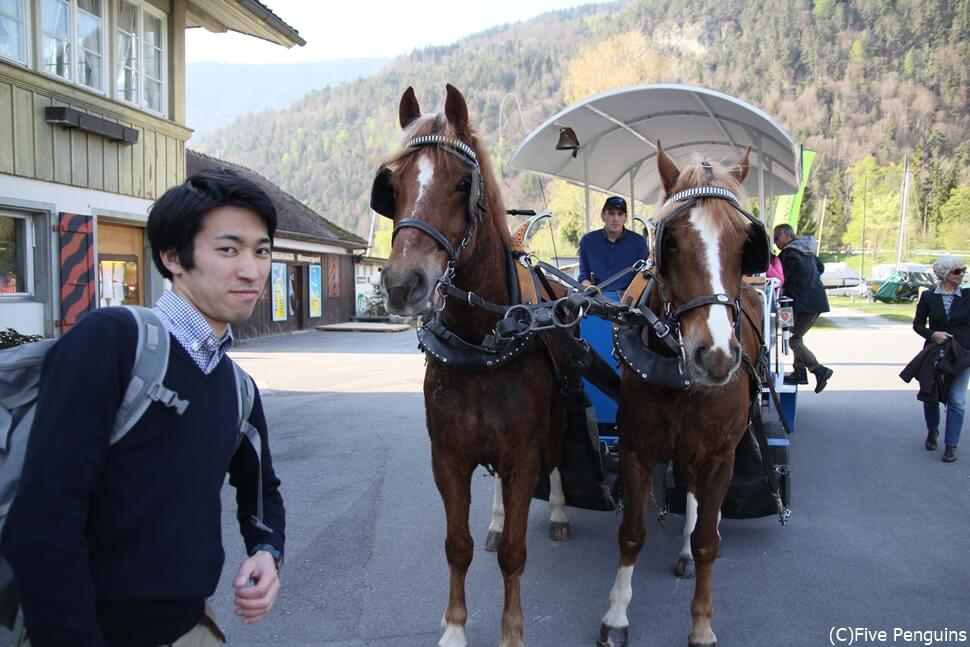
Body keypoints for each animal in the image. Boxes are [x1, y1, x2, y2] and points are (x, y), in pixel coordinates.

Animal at [376, 86, 576, 647]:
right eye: (392, 186)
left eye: (463, 183)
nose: (403, 284)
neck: (481, 339)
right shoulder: (448, 456)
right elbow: (457, 545)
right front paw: (454, 628)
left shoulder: (523, 454)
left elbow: (514, 553)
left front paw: (511, 632)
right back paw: (497, 518)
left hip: (557, 424)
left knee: (557, 461)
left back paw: (556, 511)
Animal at [596, 143, 764, 647]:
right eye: (669, 241)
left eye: (745, 244)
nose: (716, 355)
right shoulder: (637, 448)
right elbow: (631, 534)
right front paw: (617, 616)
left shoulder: (720, 454)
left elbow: (709, 538)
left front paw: (702, 624)